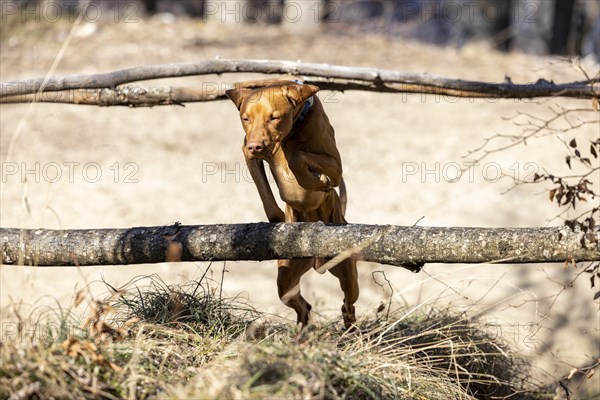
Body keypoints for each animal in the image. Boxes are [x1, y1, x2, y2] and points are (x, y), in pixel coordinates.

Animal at [224, 79, 356, 330]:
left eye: (274, 117)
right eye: (246, 118)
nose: (257, 145)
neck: (291, 133)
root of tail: (315, 259)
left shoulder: (336, 168)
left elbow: (297, 158)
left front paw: (316, 180)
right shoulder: (247, 151)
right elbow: (264, 187)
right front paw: (277, 215)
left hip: (346, 271)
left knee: (349, 301)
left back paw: (349, 322)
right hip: (286, 277)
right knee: (302, 305)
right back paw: (302, 330)